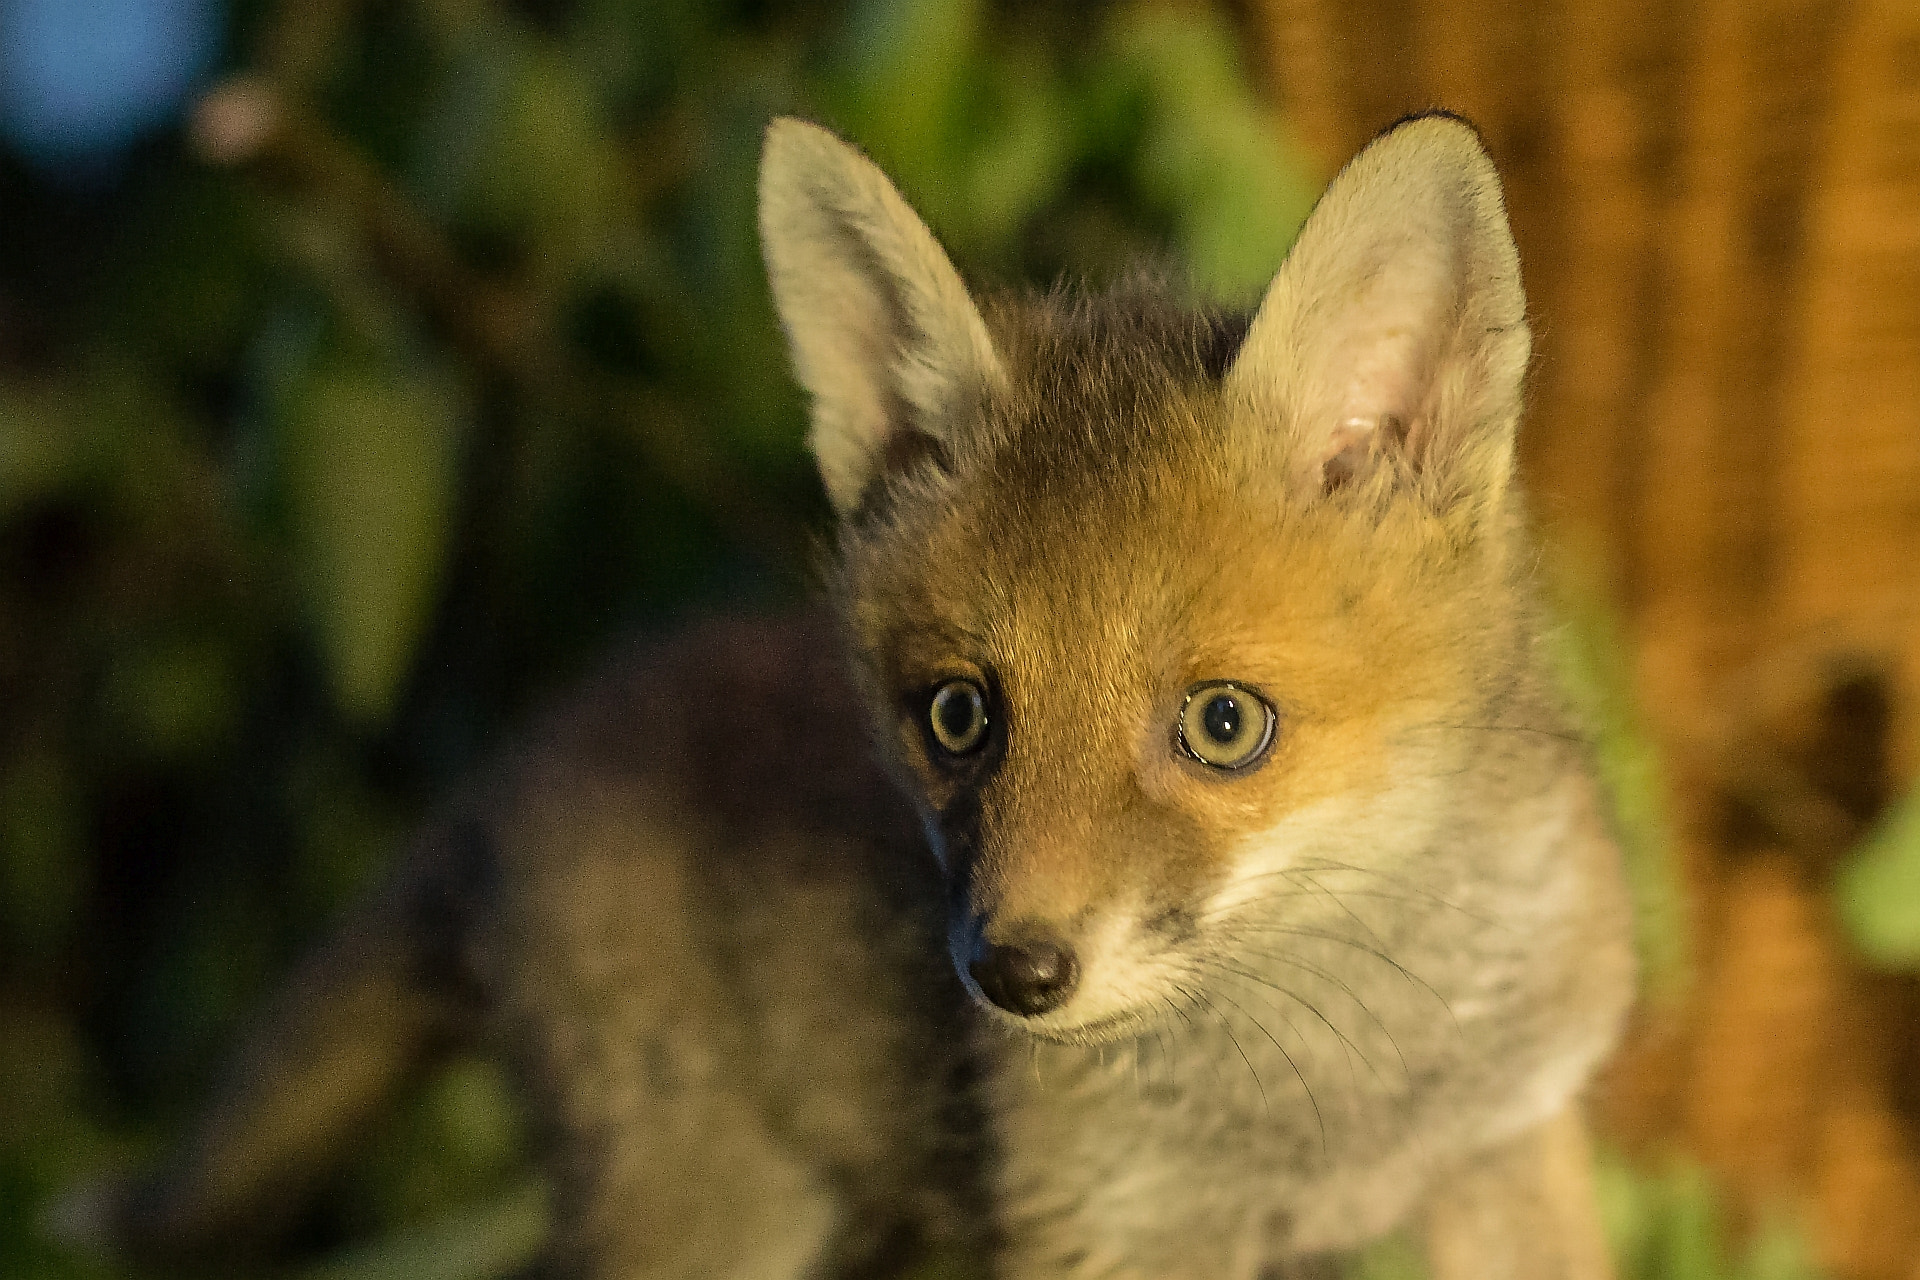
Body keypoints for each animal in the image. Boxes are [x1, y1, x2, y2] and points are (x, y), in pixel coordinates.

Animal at [82, 112, 1635, 1280]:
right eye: (959, 716)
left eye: (1223, 723)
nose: (1012, 976)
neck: (1345, 1084)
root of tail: (527, 755)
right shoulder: (1109, 1229)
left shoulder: (1511, 1144)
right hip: (716, 1217)